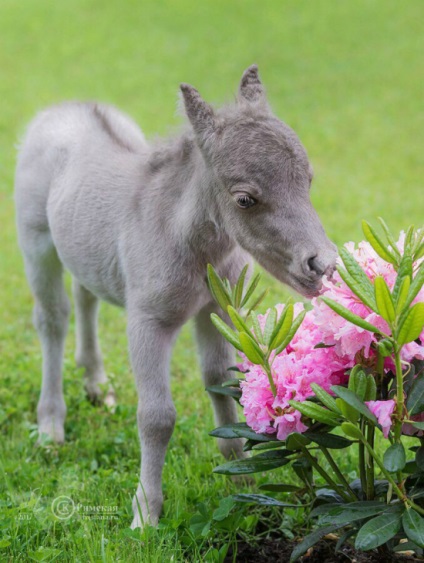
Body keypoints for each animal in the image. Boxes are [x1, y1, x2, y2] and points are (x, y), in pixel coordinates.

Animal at [14, 66, 336, 528]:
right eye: (245, 199)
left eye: (307, 180)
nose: (323, 264)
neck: (191, 243)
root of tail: (63, 108)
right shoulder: (147, 321)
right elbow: (156, 418)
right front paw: (145, 514)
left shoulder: (218, 309)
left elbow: (221, 383)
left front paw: (242, 481)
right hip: (36, 241)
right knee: (52, 319)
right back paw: (51, 427)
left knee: (85, 294)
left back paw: (96, 384)